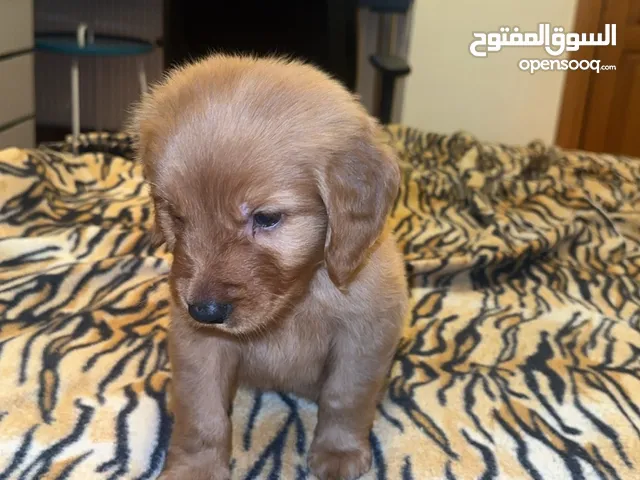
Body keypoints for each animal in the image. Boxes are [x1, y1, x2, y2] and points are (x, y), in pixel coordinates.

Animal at [132, 54, 408, 478]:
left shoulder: (365, 336)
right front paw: (196, 468)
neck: (299, 297)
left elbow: (346, 398)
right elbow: (202, 414)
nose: (204, 311)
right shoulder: (196, 343)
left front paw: (339, 452)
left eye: (266, 218)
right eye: (177, 216)